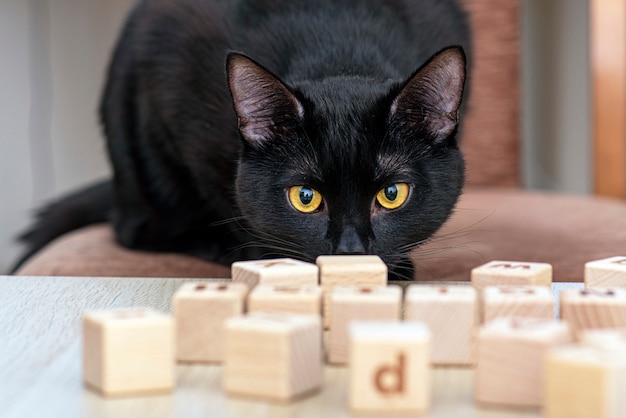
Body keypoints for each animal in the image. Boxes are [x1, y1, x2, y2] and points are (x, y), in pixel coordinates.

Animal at [13, 1, 468, 280]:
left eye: (392, 194)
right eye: (305, 198)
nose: (350, 251)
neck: (340, 53)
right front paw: (257, 251)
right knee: (139, 228)